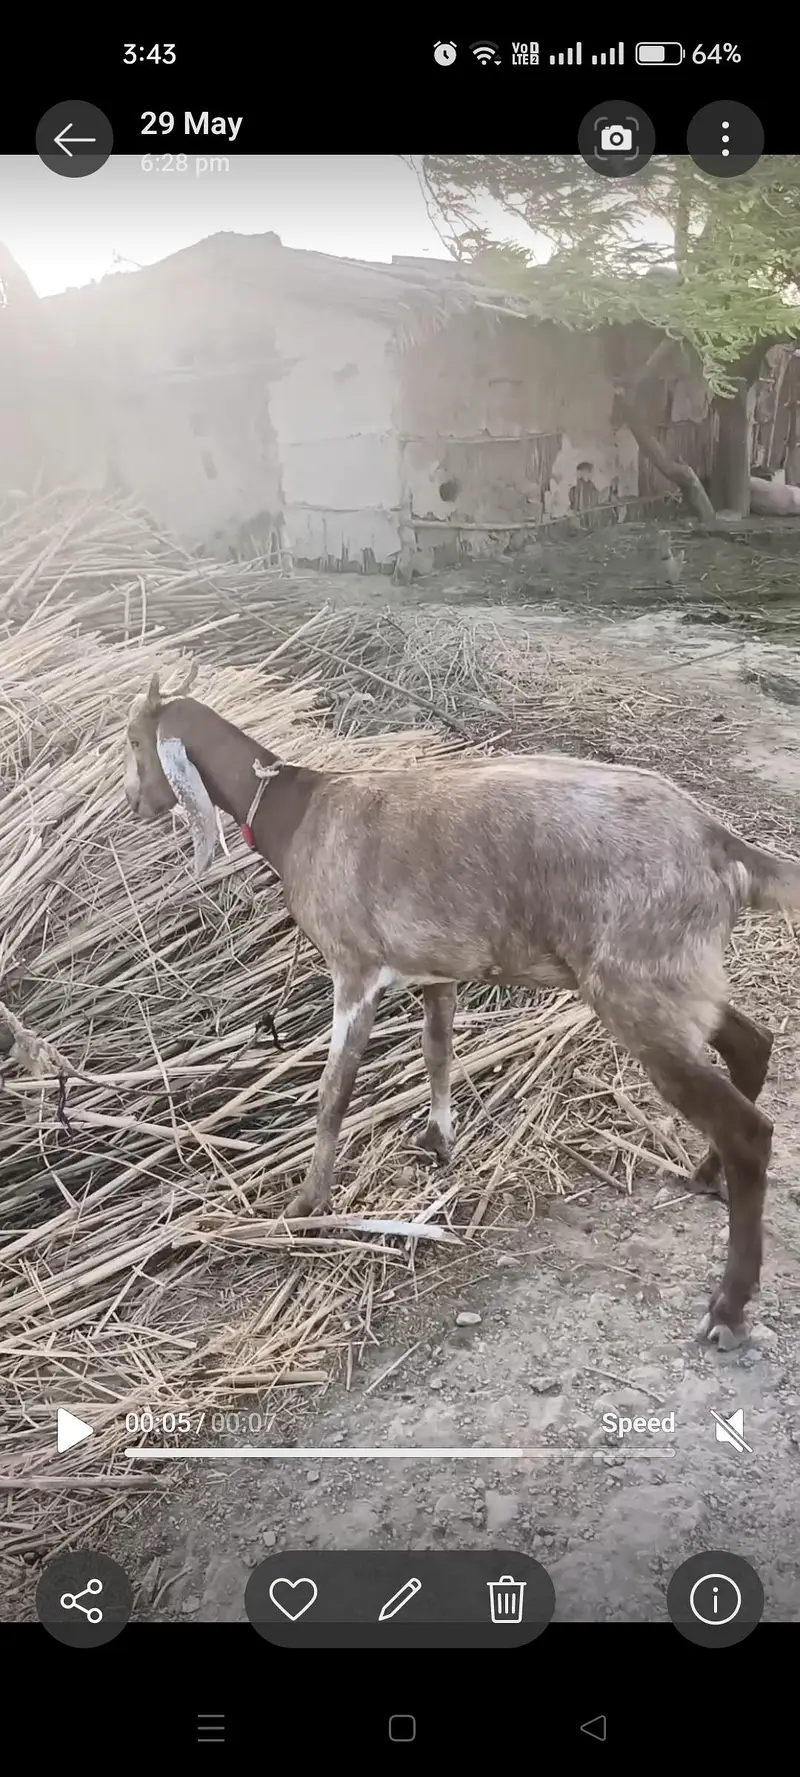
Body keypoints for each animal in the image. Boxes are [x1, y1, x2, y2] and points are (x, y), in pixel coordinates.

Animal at [123, 672, 800, 1349]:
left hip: (637, 984)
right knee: (751, 1044)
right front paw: (439, 1141)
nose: (133, 802)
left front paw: (307, 1204)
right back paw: (706, 1174)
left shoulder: (354, 970)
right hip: (675, 980)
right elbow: (438, 1047)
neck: (298, 810)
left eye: (133, 740)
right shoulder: (437, 968)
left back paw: (728, 1306)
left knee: (748, 1130)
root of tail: (719, 843)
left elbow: (333, 1094)